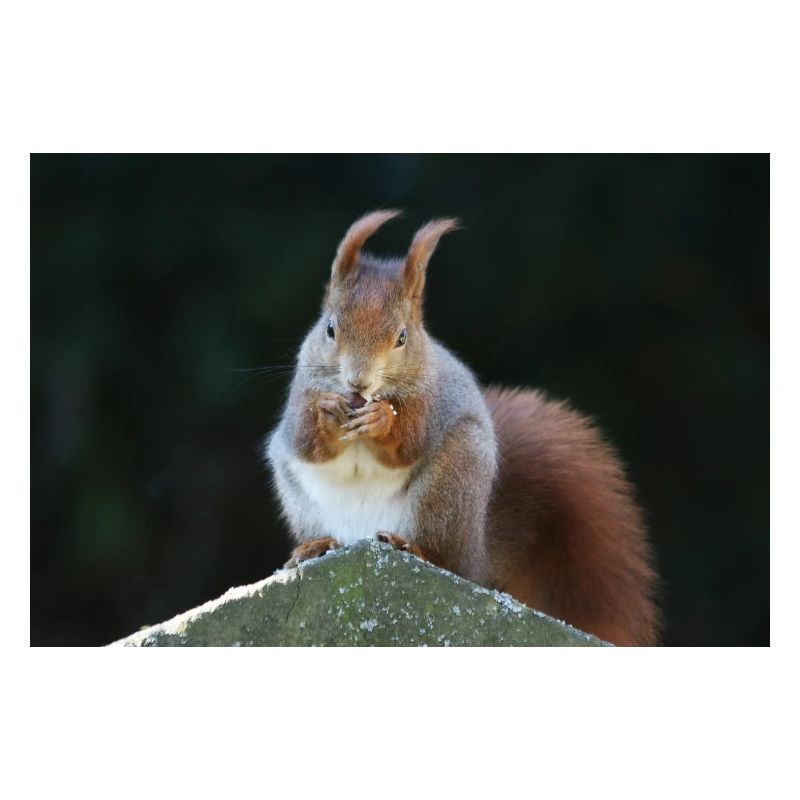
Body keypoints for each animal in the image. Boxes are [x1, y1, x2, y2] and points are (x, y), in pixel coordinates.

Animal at [266, 210, 661, 645]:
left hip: (449, 488)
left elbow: (408, 443)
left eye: (402, 337)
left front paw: (382, 419)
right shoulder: (298, 400)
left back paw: (413, 549)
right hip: (300, 498)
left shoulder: (430, 401)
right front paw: (328, 411)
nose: (359, 383)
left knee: (447, 560)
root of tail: (478, 554)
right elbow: (306, 441)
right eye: (330, 329)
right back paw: (315, 547)